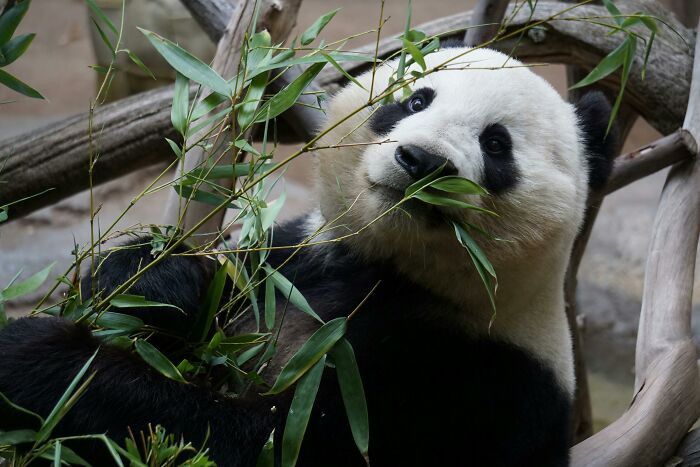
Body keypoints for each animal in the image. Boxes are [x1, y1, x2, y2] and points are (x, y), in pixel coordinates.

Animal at [0, 46, 616, 467]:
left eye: (496, 144)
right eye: (416, 98)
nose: (421, 161)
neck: (394, 269)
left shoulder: (471, 382)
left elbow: (262, 442)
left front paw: (38, 361)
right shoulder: (296, 260)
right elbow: (212, 284)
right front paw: (159, 285)